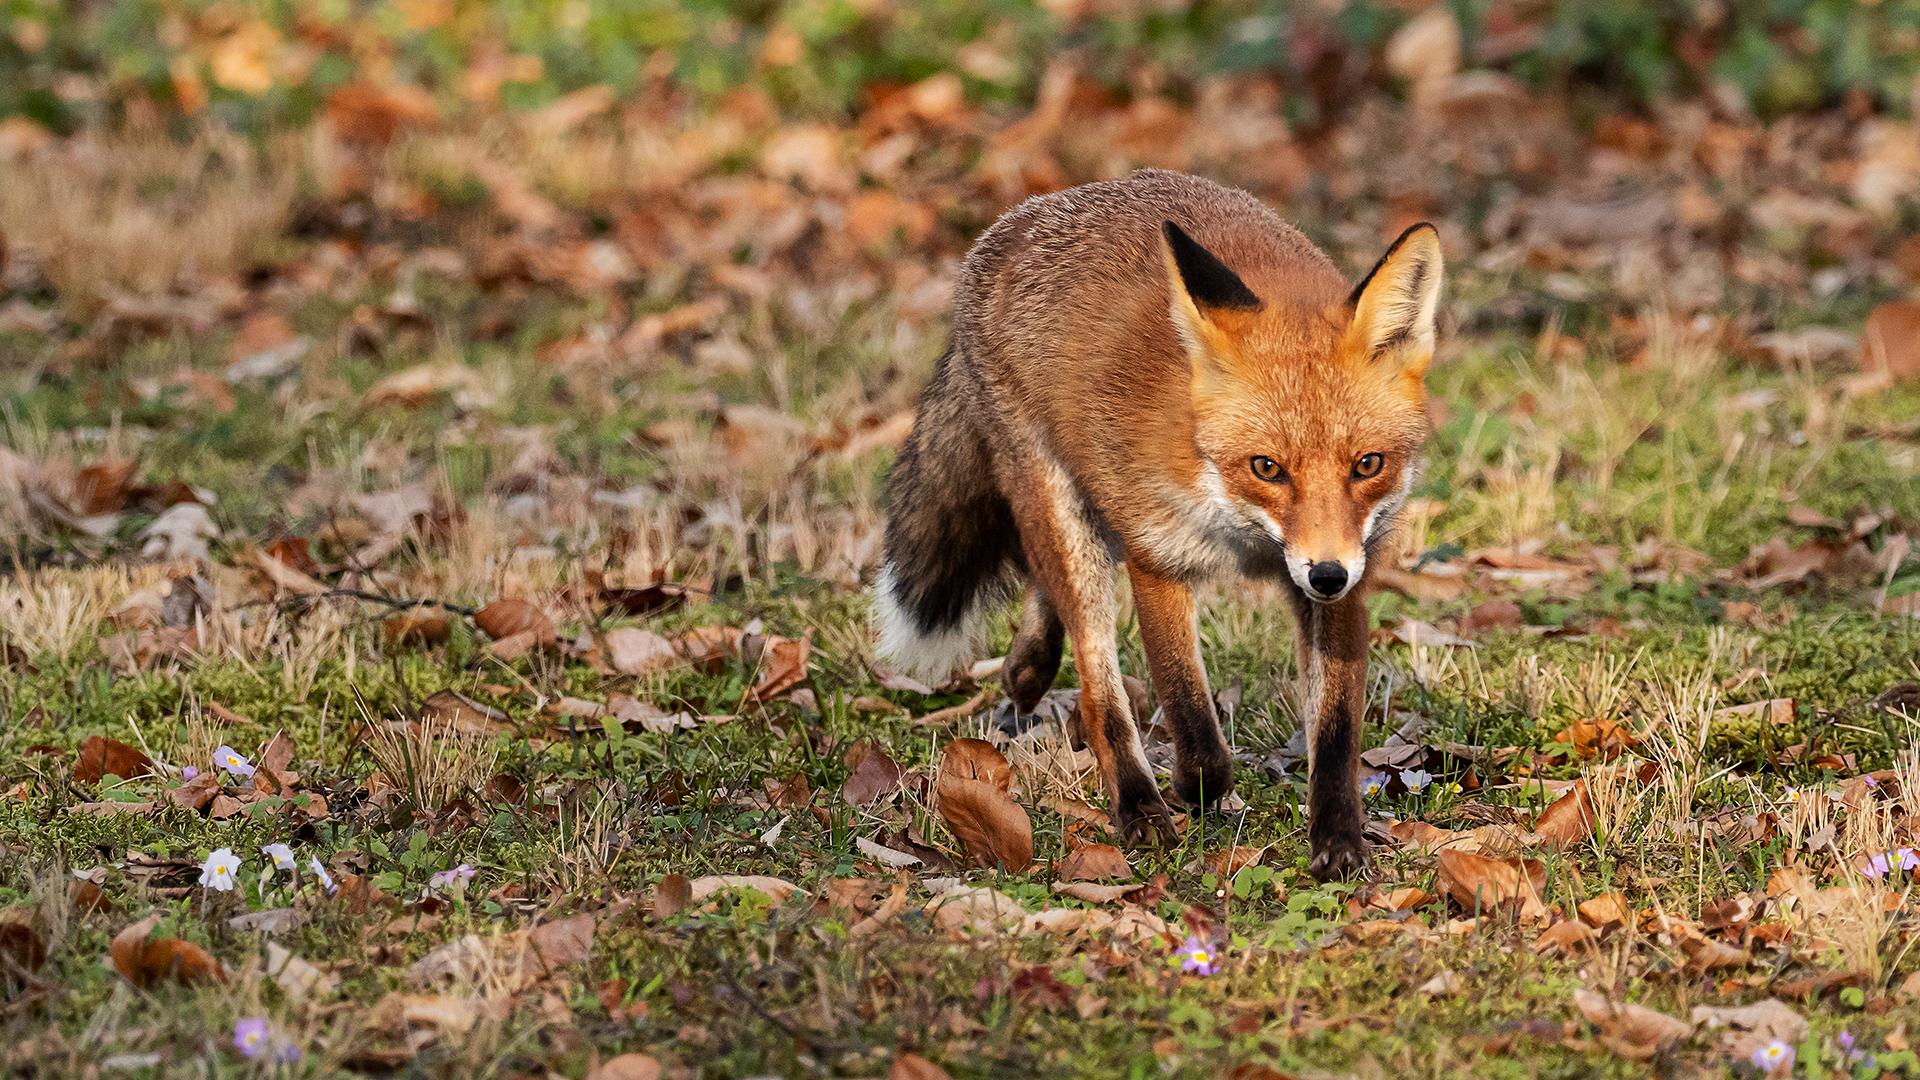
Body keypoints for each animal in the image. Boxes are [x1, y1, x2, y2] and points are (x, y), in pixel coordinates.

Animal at [879, 168, 1436, 876]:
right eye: (1267, 467)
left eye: (1368, 465)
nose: (1328, 575)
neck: (1243, 530)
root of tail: (1017, 221)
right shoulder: (1158, 558)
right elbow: (1194, 721)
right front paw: (1192, 792)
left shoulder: (1344, 574)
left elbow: (1335, 732)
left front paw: (1339, 839)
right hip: (1066, 515)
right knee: (1095, 690)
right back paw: (1137, 805)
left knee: (1043, 597)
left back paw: (1028, 663)